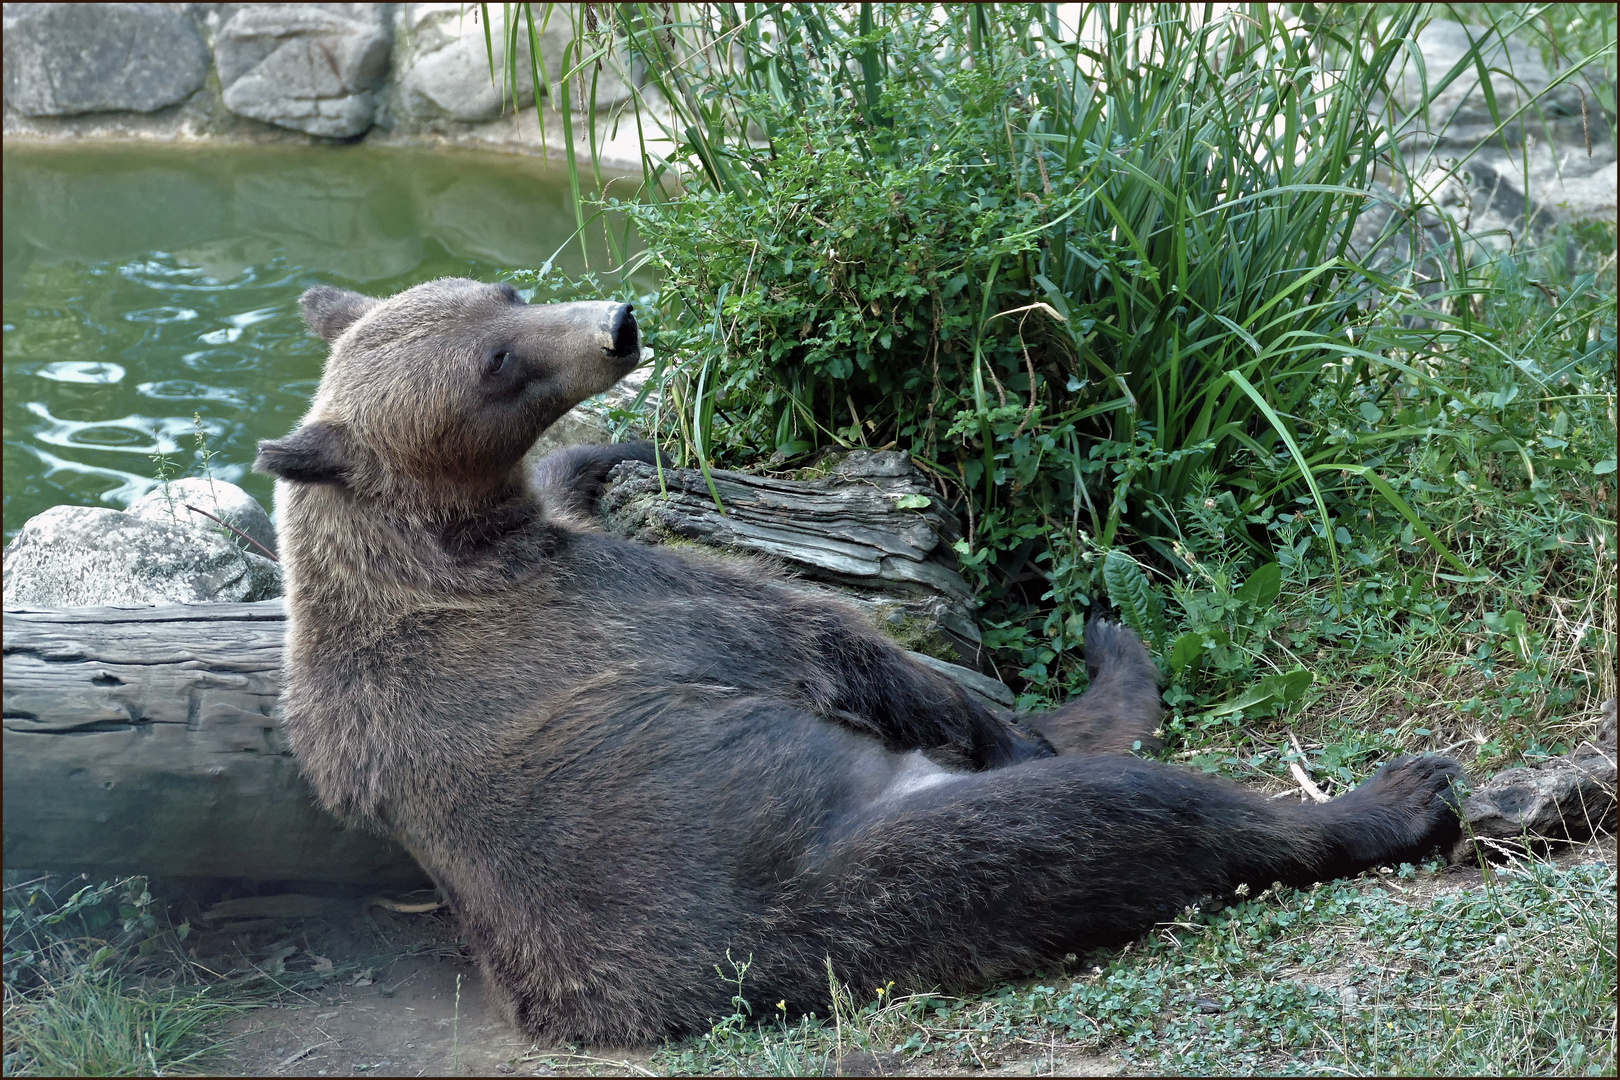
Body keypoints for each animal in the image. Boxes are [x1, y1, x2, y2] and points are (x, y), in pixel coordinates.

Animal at [255, 278, 1470, 1049]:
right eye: (496, 364)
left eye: (503, 297)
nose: (616, 323)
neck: (435, 538)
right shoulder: (609, 615)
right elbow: (842, 647)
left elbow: (584, 483)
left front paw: (627, 447)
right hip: (838, 886)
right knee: (1108, 816)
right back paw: (1386, 796)